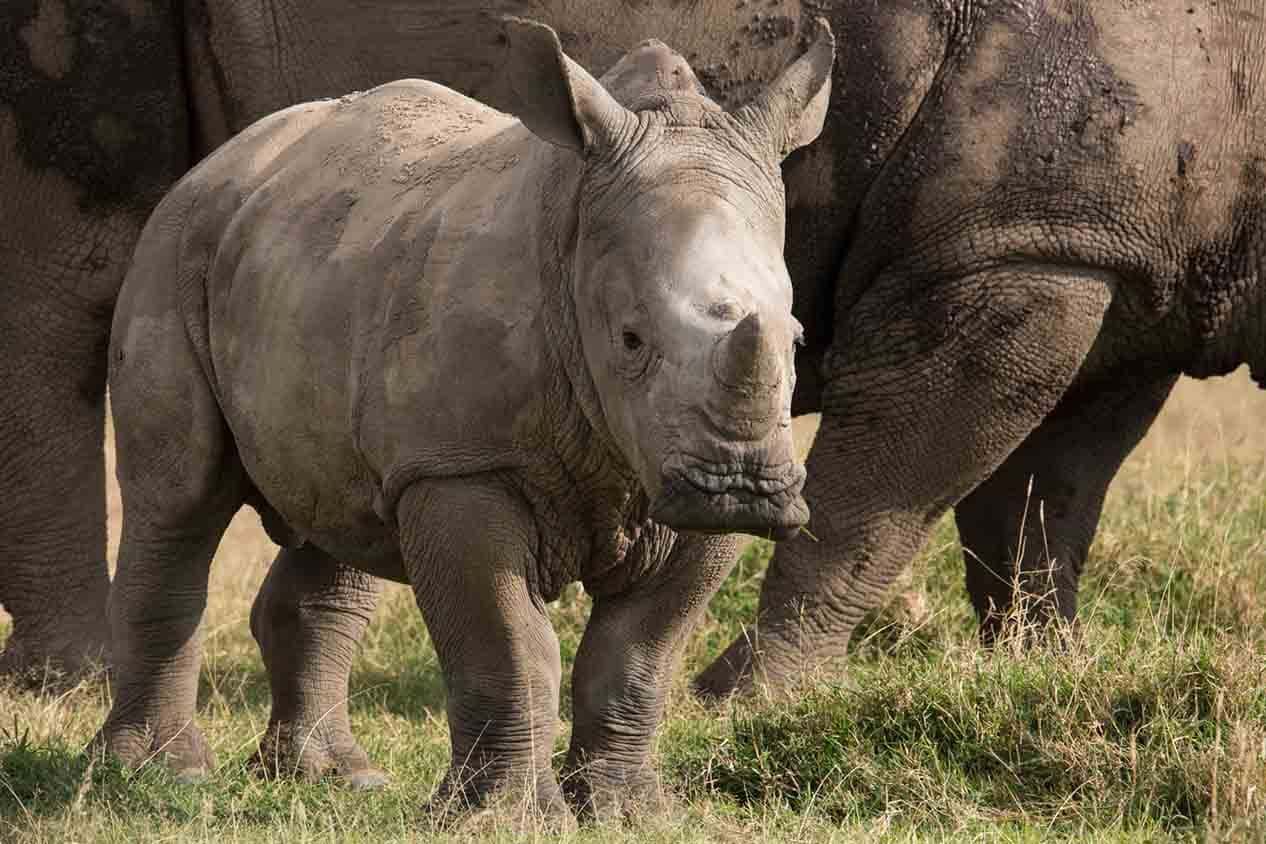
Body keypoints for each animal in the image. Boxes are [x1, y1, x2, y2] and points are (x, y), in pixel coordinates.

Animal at [95, 17, 832, 820]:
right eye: (631, 340)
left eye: (798, 339)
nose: (743, 488)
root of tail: (224, 158)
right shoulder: (461, 465)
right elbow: (509, 643)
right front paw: (504, 817)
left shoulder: (678, 478)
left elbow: (638, 657)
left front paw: (629, 812)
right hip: (174, 247)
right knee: (181, 502)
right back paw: (160, 775)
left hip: (316, 261)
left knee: (343, 511)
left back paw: (333, 778)